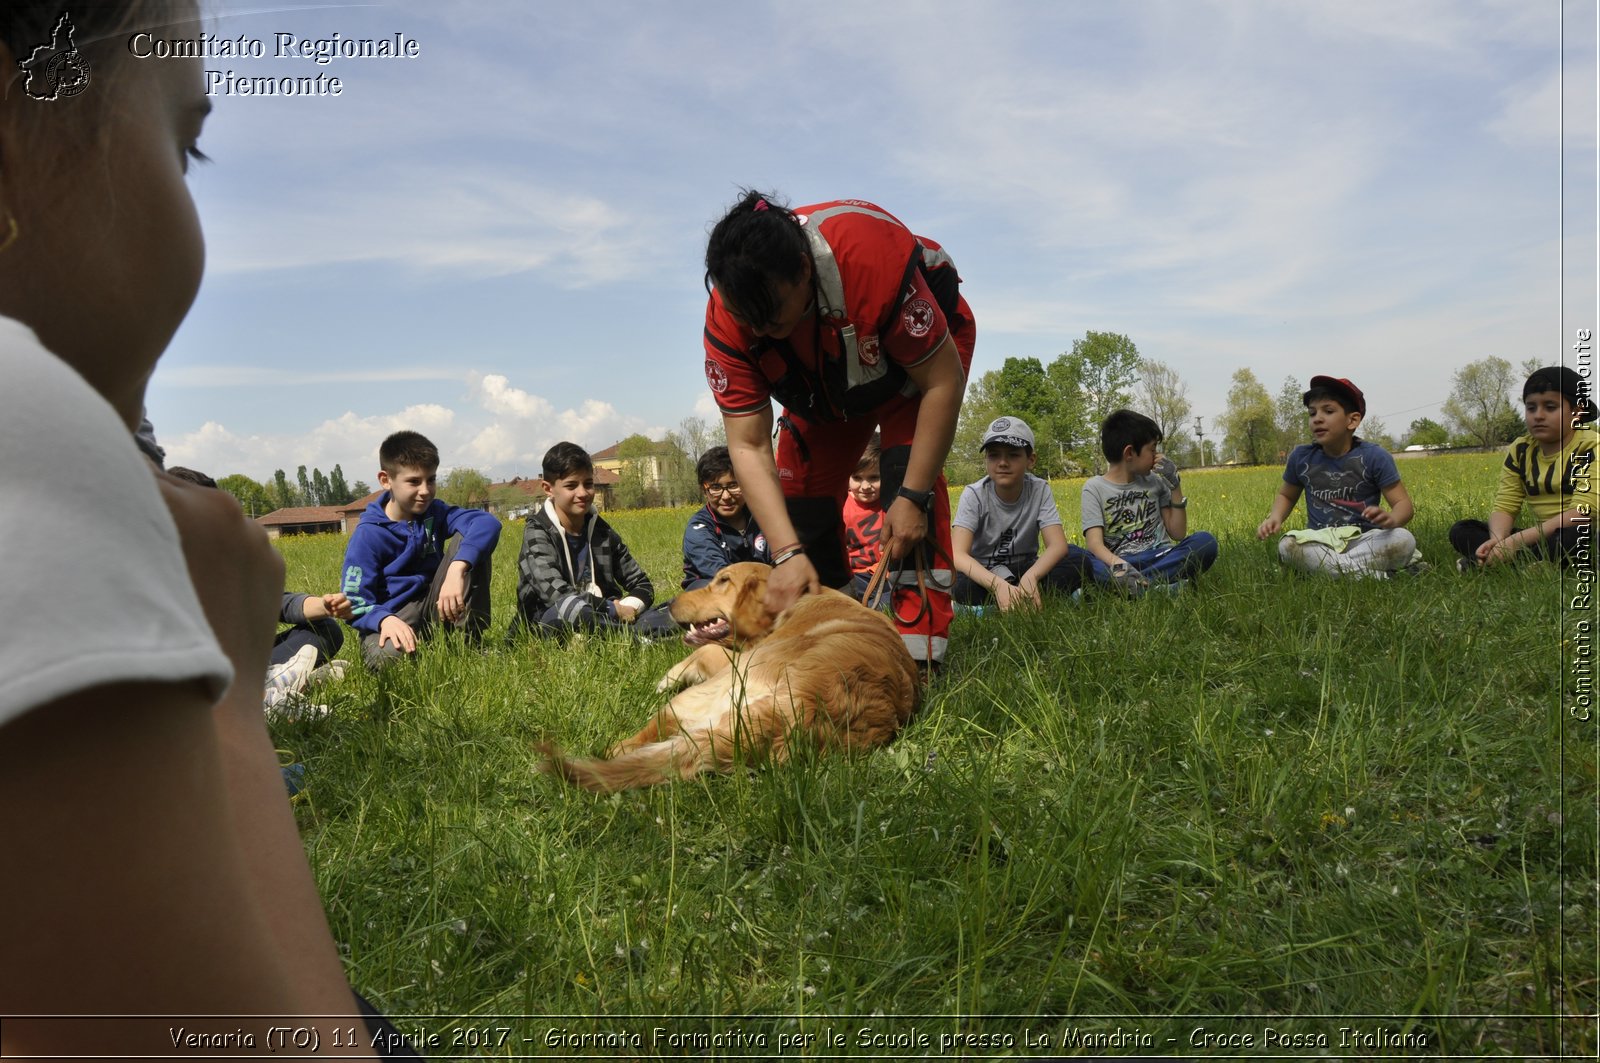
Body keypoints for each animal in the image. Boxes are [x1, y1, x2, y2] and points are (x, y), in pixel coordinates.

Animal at [540, 560, 921, 794]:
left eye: (723, 580)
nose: (671, 602)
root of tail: (803, 707)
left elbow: (700, 655)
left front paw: (669, 675)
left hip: (705, 696)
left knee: (654, 726)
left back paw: (613, 747)